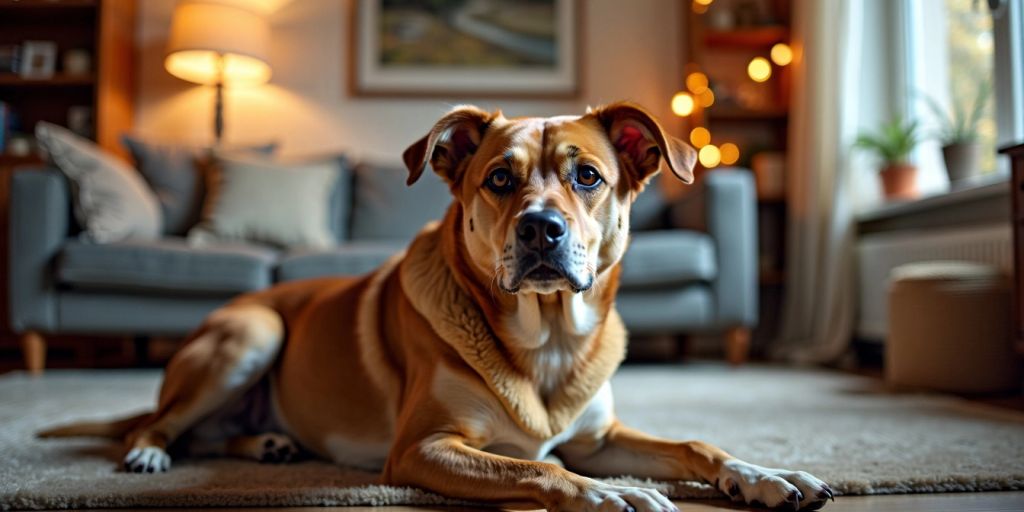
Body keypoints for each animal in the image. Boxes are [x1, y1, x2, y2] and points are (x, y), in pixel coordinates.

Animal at [44, 101, 835, 509]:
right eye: (499, 179)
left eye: (587, 176)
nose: (539, 229)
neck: (548, 340)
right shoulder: (422, 448)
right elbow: (537, 468)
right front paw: (612, 496)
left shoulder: (598, 436)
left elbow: (697, 445)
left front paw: (767, 476)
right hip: (250, 333)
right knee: (158, 425)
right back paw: (151, 450)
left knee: (208, 435)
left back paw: (267, 444)